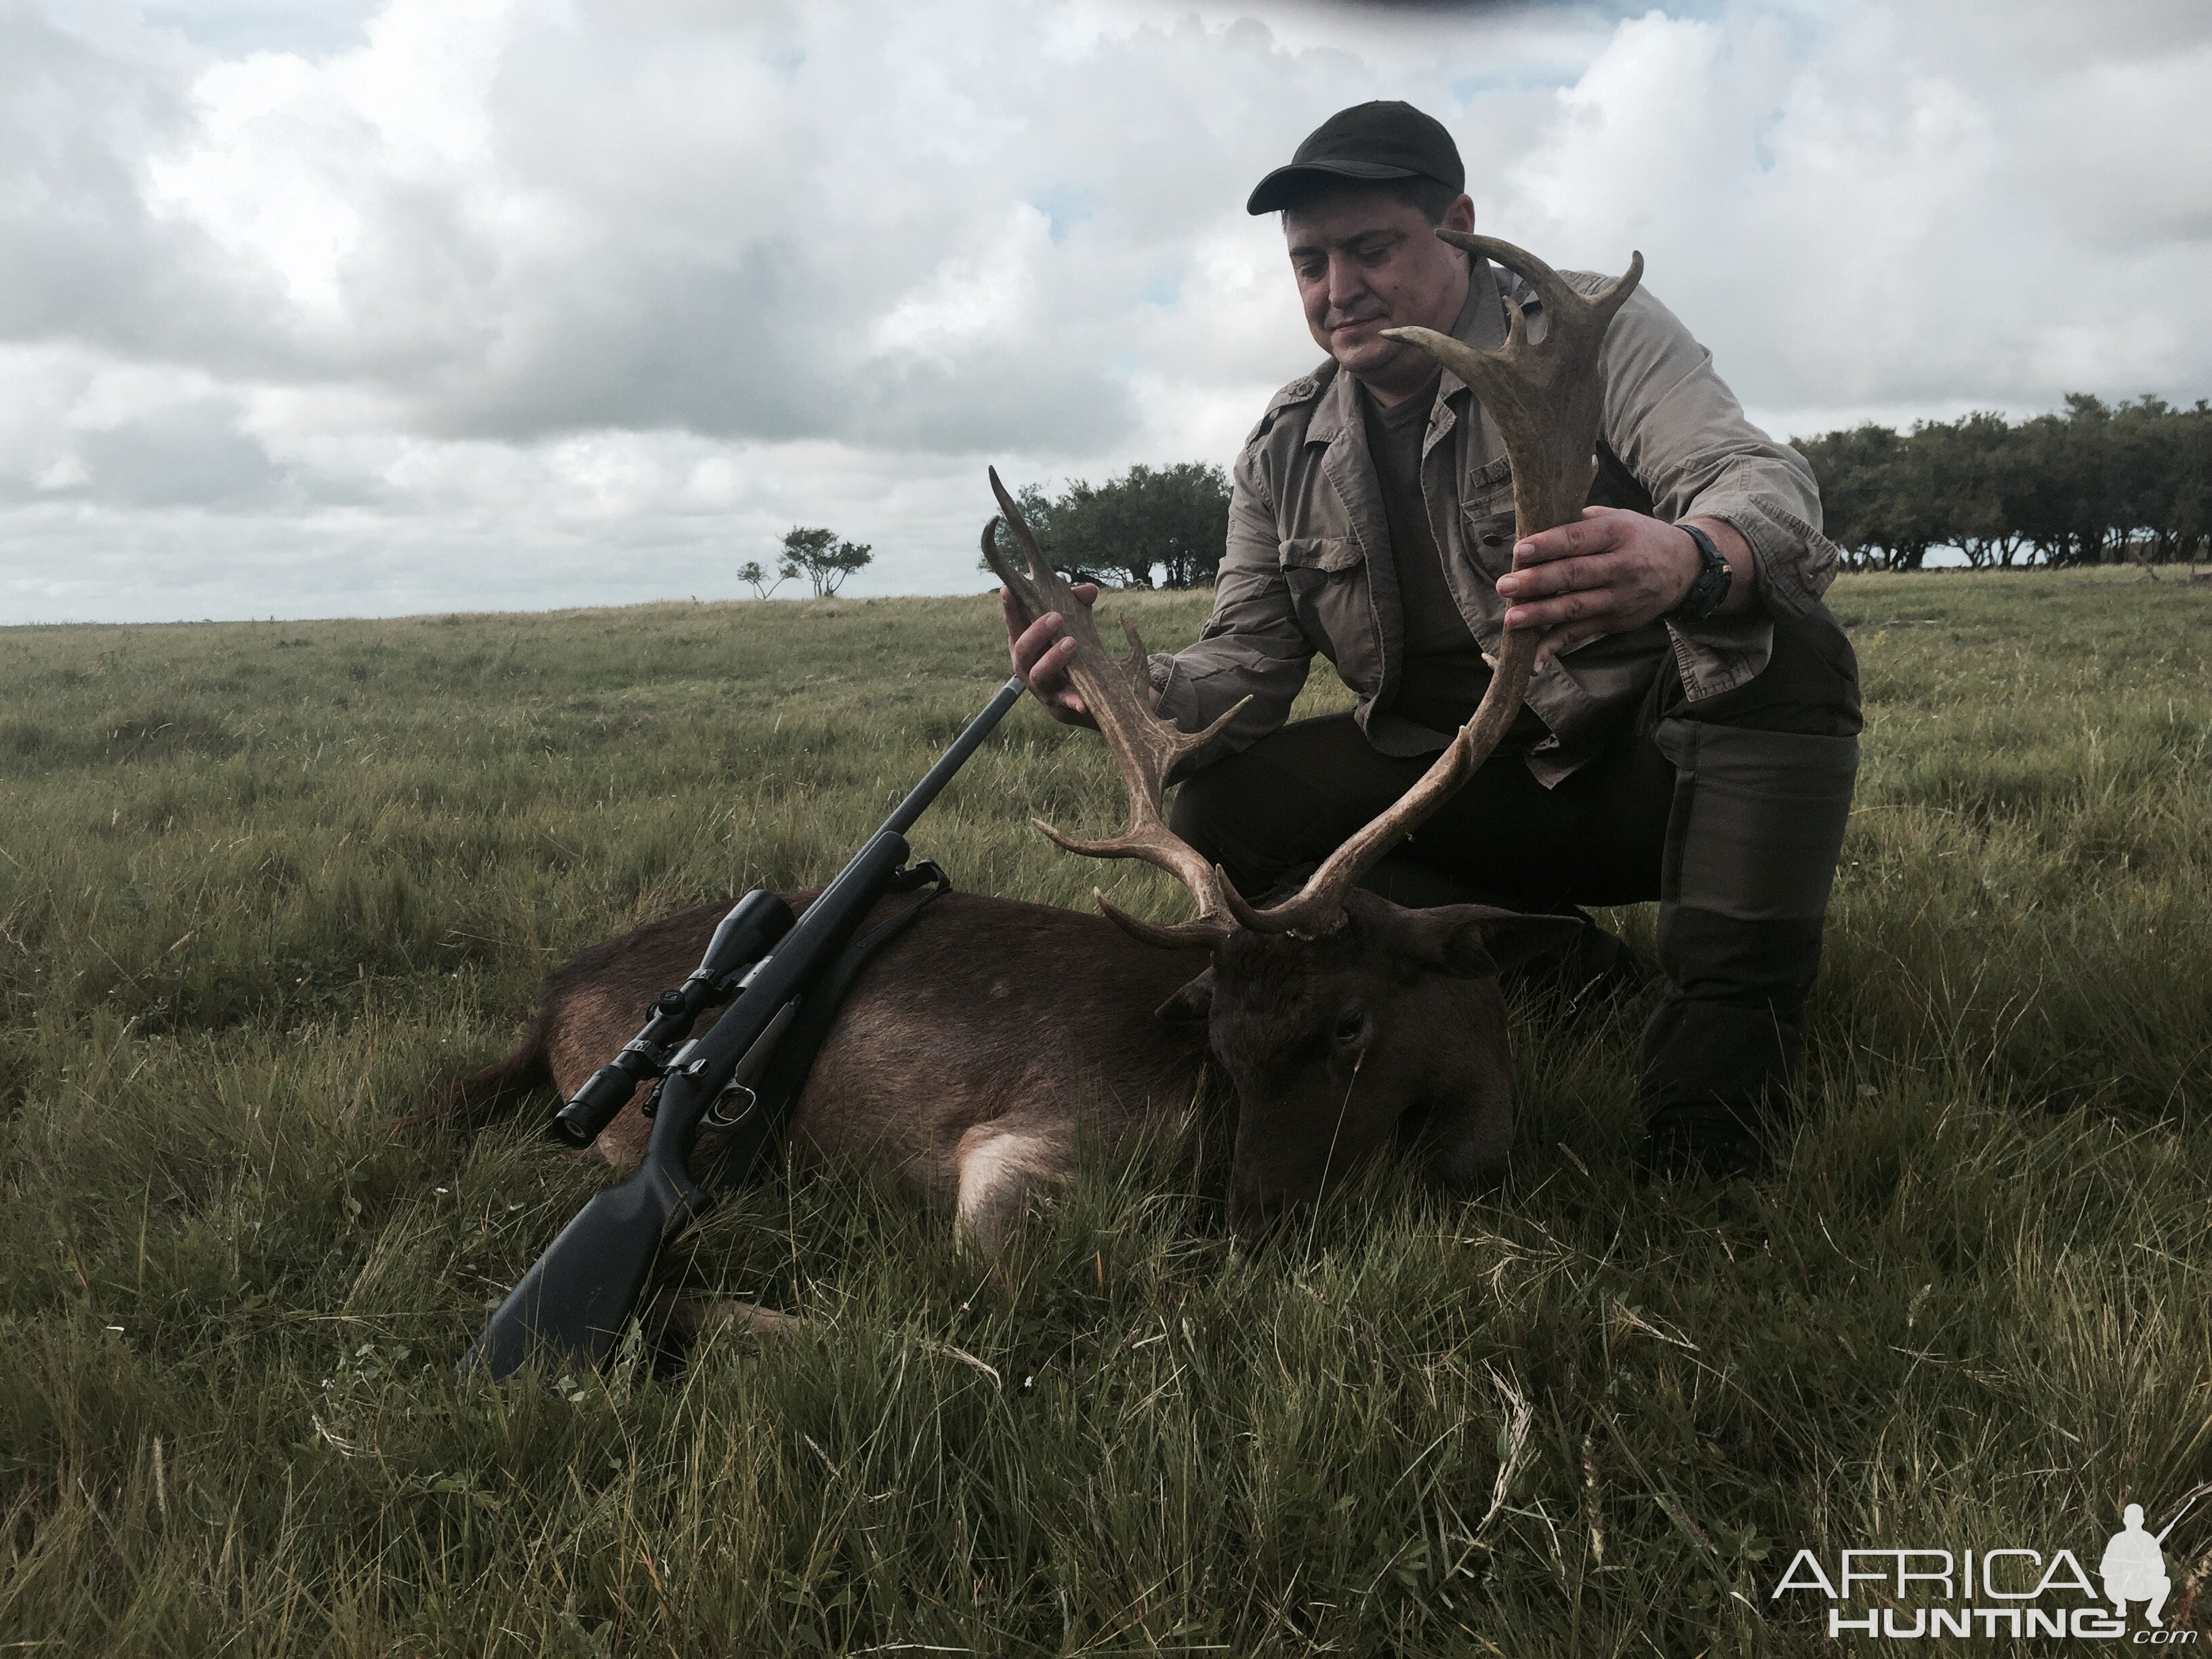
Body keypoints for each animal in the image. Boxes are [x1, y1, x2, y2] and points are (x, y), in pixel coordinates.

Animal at [453, 231, 1645, 1247]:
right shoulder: (1027, 1146)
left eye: (1351, 1026)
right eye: (1221, 1041)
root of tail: (553, 997)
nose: (1250, 1225)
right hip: (623, 1122)